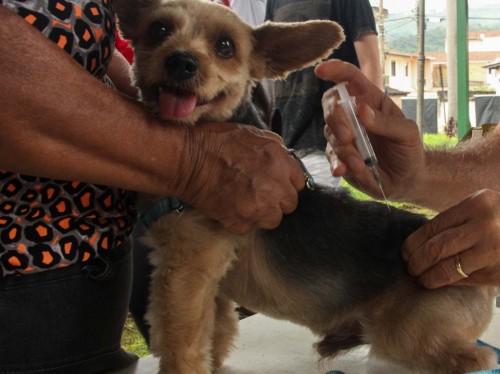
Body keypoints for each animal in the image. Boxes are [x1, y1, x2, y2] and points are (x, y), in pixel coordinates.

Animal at [111, 0, 498, 372]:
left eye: (225, 46)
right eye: (158, 29)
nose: (180, 61)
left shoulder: (186, 268)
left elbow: (180, 342)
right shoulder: (213, 282)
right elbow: (216, 333)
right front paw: (215, 363)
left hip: (406, 332)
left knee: (474, 357)